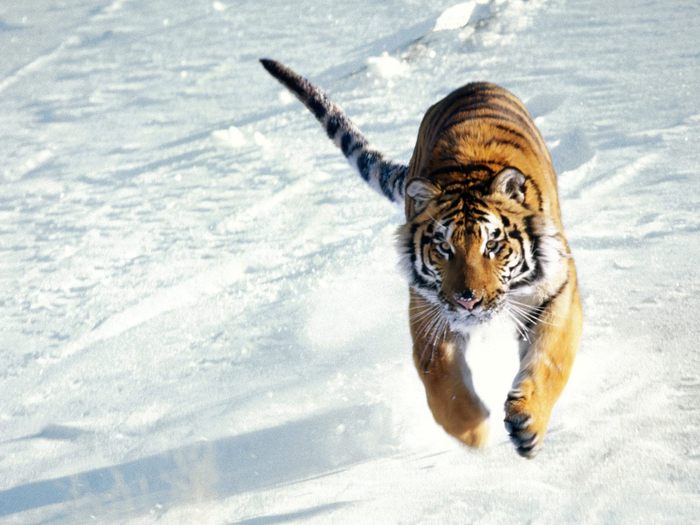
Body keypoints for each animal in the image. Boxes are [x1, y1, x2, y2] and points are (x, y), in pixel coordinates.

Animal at [260, 58, 582, 459]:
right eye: (443, 248)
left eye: (492, 245)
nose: (468, 300)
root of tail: (471, 84)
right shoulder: (429, 309)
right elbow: (442, 382)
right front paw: (473, 432)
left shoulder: (556, 290)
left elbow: (550, 360)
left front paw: (528, 424)